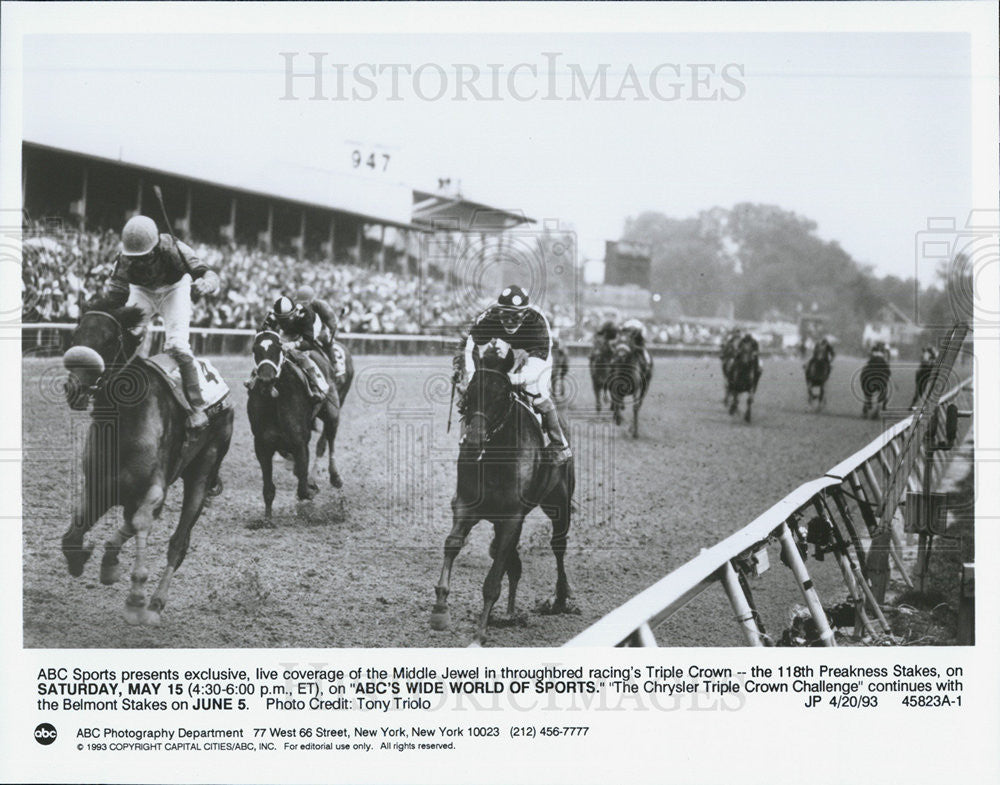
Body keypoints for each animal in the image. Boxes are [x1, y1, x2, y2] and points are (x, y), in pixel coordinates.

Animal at [62, 304, 234, 624]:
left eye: (109, 341)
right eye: (76, 335)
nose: (74, 388)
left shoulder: (154, 487)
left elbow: (143, 521)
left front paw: (136, 597)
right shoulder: (99, 487)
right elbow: (72, 535)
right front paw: (85, 559)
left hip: (202, 472)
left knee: (178, 542)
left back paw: (155, 602)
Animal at [246, 328, 344, 516]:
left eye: (279, 349)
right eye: (255, 349)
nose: (266, 380)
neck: (275, 402)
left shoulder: (300, 443)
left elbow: (303, 489)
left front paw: (311, 488)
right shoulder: (262, 445)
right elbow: (268, 489)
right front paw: (267, 518)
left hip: (332, 412)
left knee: (331, 439)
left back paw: (335, 476)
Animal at [428, 346, 576, 648]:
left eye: (501, 395)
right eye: (471, 392)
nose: (473, 440)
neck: (494, 459)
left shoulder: (511, 518)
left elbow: (493, 581)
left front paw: (479, 634)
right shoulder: (466, 507)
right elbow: (452, 544)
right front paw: (440, 608)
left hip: (559, 504)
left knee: (558, 547)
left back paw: (560, 598)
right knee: (512, 563)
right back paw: (509, 613)